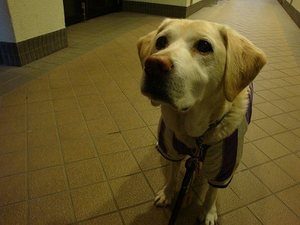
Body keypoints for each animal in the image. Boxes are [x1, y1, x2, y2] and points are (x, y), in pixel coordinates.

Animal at [137, 18, 266, 224]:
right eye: (161, 42)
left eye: (204, 46)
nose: (154, 65)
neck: (195, 134)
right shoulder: (172, 149)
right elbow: (173, 174)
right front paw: (168, 193)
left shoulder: (223, 169)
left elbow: (212, 193)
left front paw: (208, 212)